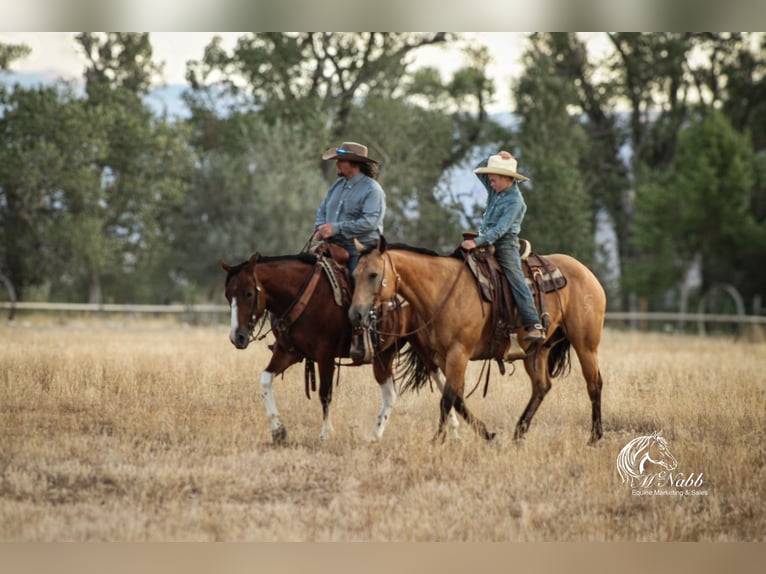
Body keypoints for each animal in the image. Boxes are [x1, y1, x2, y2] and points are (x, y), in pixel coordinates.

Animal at [222, 249, 458, 444]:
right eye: (227, 295)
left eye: (248, 293)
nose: (237, 337)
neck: (305, 296)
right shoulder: (288, 352)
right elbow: (265, 379)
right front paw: (278, 431)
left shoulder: (325, 355)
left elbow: (325, 393)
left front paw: (326, 433)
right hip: (383, 356)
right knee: (391, 393)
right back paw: (376, 435)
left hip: (427, 347)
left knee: (443, 381)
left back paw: (453, 431)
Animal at [348, 237, 607, 444]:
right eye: (354, 275)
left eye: (373, 274)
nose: (356, 314)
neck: (443, 290)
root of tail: (587, 273)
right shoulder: (443, 357)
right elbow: (457, 398)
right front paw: (488, 435)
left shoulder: (458, 353)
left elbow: (447, 398)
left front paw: (437, 439)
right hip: (537, 350)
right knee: (542, 386)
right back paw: (518, 433)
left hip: (586, 345)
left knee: (594, 384)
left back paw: (594, 436)